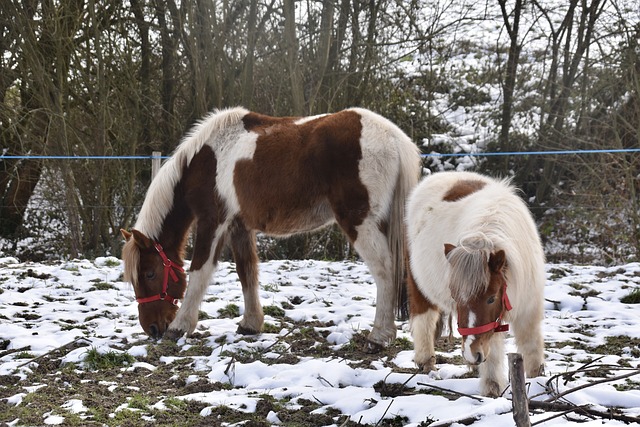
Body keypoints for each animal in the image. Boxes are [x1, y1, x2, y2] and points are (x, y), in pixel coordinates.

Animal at [122, 106, 422, 348]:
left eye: (149, 273)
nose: (152, 329)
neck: (206, 159)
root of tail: (393, 137)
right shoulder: (239, 227)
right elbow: (247, 272)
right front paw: (251, 324)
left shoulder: (212, 222)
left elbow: (199, 272)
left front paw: (180, 327)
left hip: (360, 222)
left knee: (385, 270)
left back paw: (379, 337)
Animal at [408, 171, 544, 398]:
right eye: (455, 297)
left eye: (491, 298)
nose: (473, 354)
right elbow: (494, 353)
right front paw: (492, 390)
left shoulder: (529, 308)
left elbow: (531, 347)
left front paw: (539, 382)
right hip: (417, 283)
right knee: (423, 318)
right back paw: (427, 361)